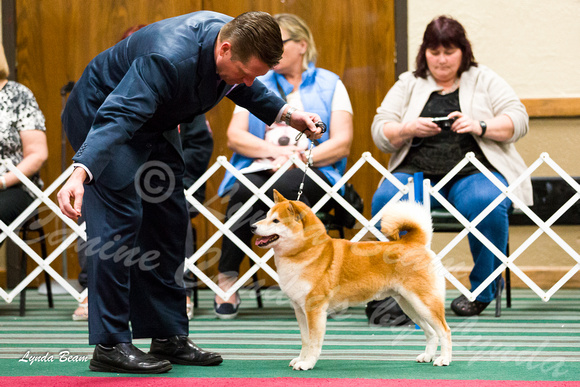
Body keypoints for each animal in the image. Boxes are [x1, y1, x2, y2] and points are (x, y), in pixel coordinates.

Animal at [251, 191, 450, 370]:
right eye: (266, 216)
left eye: (276, 221)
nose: (252, 227)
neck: (306, 252)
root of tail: (413, 242)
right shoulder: (299, 309)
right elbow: (305, 340)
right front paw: (300, 359)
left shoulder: (314, 309)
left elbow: (314, 342)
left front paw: (307, 364)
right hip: (410, 305)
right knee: (431, 332)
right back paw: (427, 356)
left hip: (424, 303)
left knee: (444, 331)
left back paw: (444, 360)